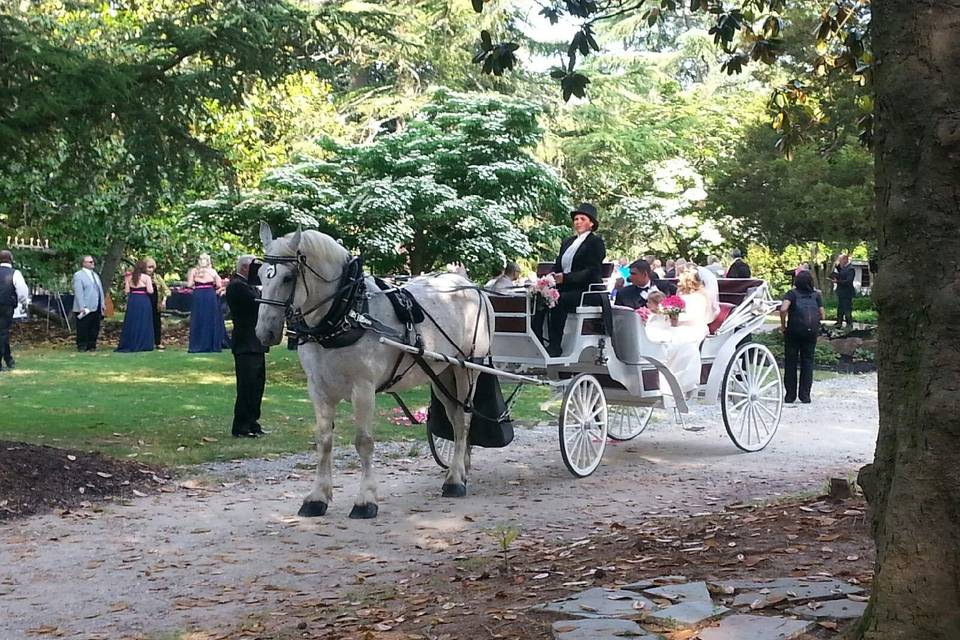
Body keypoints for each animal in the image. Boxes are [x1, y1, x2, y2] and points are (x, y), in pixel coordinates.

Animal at [255, 222, 496, 516]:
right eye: (260, 275)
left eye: (288, 278)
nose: (264, 333)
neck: (347, 311)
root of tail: (471, 287)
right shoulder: (318, 388)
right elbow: (324, 440)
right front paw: (317, 497)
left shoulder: (363, 388)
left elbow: (364, 441)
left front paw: (365, 500)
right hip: (442, 374)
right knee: (454, 417)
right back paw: (460, 471)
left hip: (467, 369)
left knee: (463, 421)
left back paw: (454, 481)